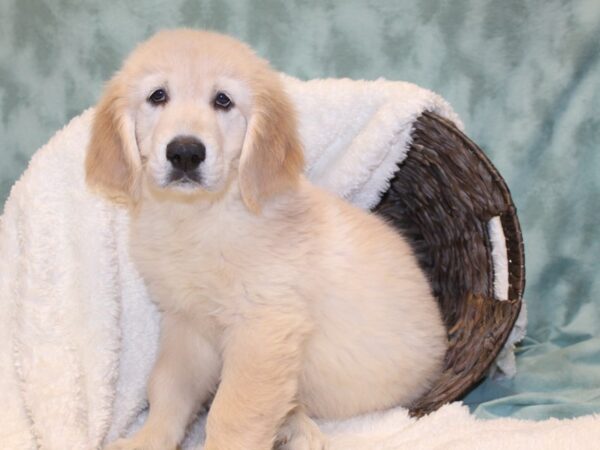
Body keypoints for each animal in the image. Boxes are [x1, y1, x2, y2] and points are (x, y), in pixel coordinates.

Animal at [86, 29, 448, 450]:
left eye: (223, 100)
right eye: (158, 96)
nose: (185, 153)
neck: (200, 219)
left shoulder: (263, 326)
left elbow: (234, 413)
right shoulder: (186, 323)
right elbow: (167, 387)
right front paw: (147, 439)